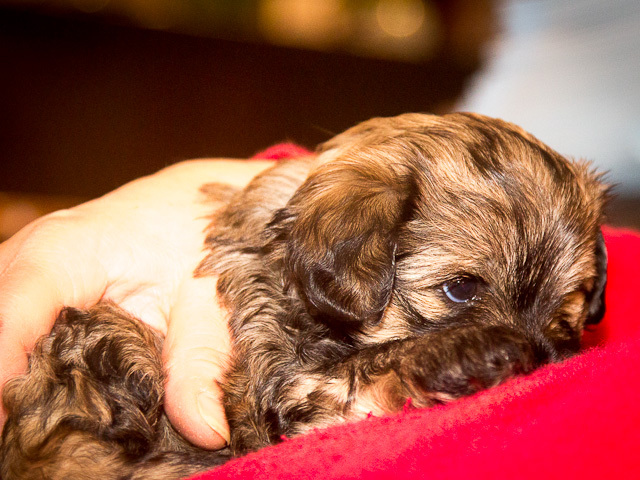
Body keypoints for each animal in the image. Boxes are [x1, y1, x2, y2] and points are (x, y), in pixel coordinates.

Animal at [0, 113, 608, 479]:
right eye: (460, 290)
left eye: (567, 309)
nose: (544, 355)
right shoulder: (297, 385)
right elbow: (379, 364)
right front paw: (473, 350)